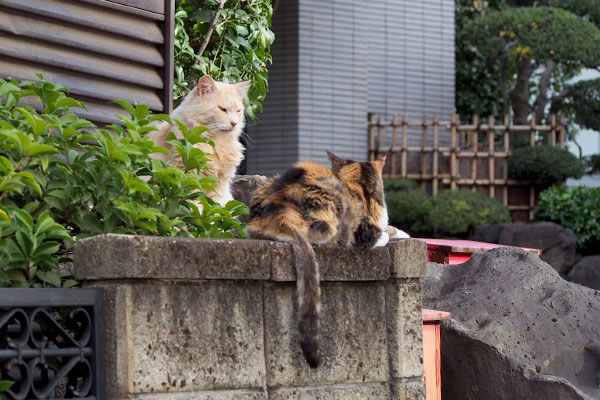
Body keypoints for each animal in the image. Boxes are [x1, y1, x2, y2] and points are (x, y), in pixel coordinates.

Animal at [150, 75, 253, 206]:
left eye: (238, 111)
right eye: (223, 109)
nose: (234, 123)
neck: (216, 143)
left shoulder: (220, 185)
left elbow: (218, 204)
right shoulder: (190, 176)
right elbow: (195, 201)